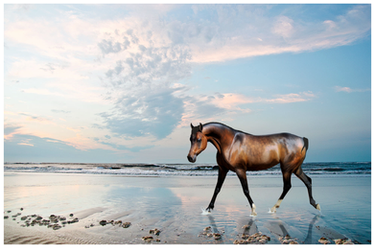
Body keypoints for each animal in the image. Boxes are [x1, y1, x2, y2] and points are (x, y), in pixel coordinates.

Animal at [187, 122, 320, 215]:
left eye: (199, 139)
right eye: (190, 139)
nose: (190, 157)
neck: (230, 142)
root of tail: (302, 139)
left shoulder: (240, 170)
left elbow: (246, 190)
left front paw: (254, 210)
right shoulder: (223, 169)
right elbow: (217, 188)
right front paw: (208, 208)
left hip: (287, 169)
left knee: (287, 186)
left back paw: (273, 208)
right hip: (295, 168)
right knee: (308, 181)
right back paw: (315, 204)